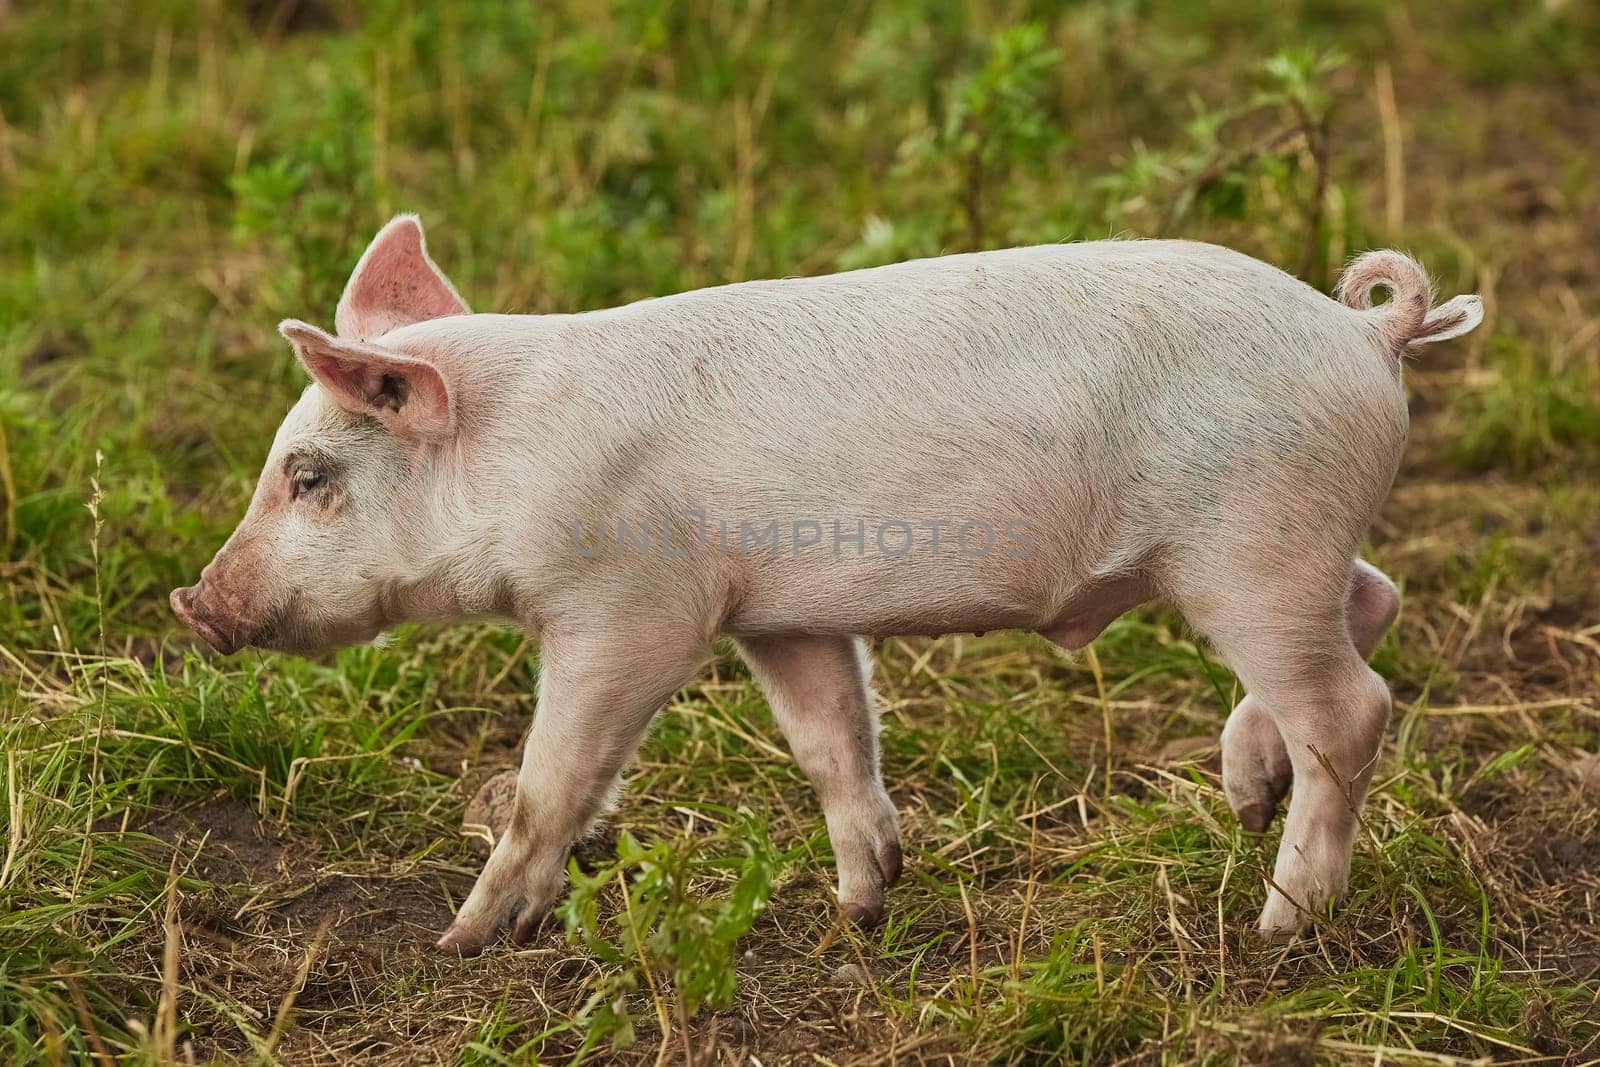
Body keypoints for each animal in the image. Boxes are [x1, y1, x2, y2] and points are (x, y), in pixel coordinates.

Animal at [168, 217, 1478, 953]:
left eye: (310, 474)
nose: (193, 604)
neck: (513, 456)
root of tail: (1365, 335)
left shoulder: (630, 611)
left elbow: (556, 779)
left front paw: (460, 940)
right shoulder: (780, 616)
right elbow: (832, 741)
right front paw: (863, 904)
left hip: (1250, 550)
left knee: (1350, 705)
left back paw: (1276, 925)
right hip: (1282, 551)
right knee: (1374, 603)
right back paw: (1248, 796)